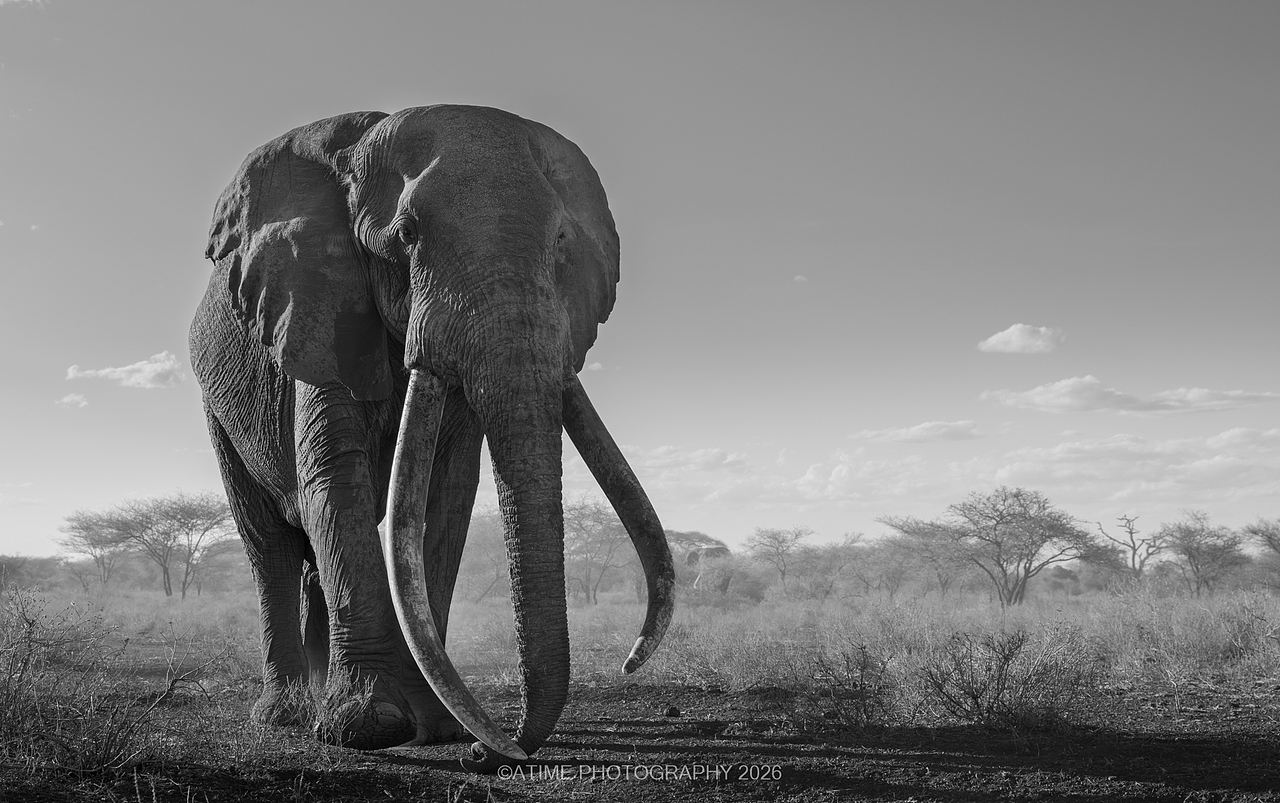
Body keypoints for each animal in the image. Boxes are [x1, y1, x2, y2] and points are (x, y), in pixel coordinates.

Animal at [188, 105, 675, 770]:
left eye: (560, 243)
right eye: (408, 233)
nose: (492, 752)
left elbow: (447, 493)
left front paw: (439, 729)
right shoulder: (315, 309)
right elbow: (335, 482)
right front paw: (364, 727)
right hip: (217, 406)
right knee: (270, 545)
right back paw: (285, 717)